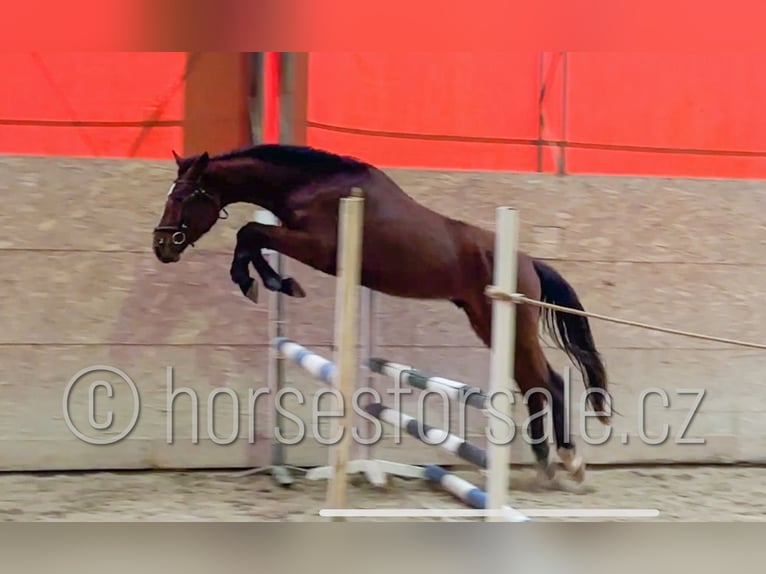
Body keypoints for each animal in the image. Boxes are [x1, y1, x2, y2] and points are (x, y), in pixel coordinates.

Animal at [152, 143, 611, 483]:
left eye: (185, 197)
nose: (162, 246)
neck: (316, 186)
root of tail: (528, 261)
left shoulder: (318, 248)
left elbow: (250, 232)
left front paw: (266, 283)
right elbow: (252, 238)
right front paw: (269, 282)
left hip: (509, 323)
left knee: (548, 382)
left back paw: (567, 460)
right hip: (487, 322)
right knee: (533, 382)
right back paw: (547, 461)